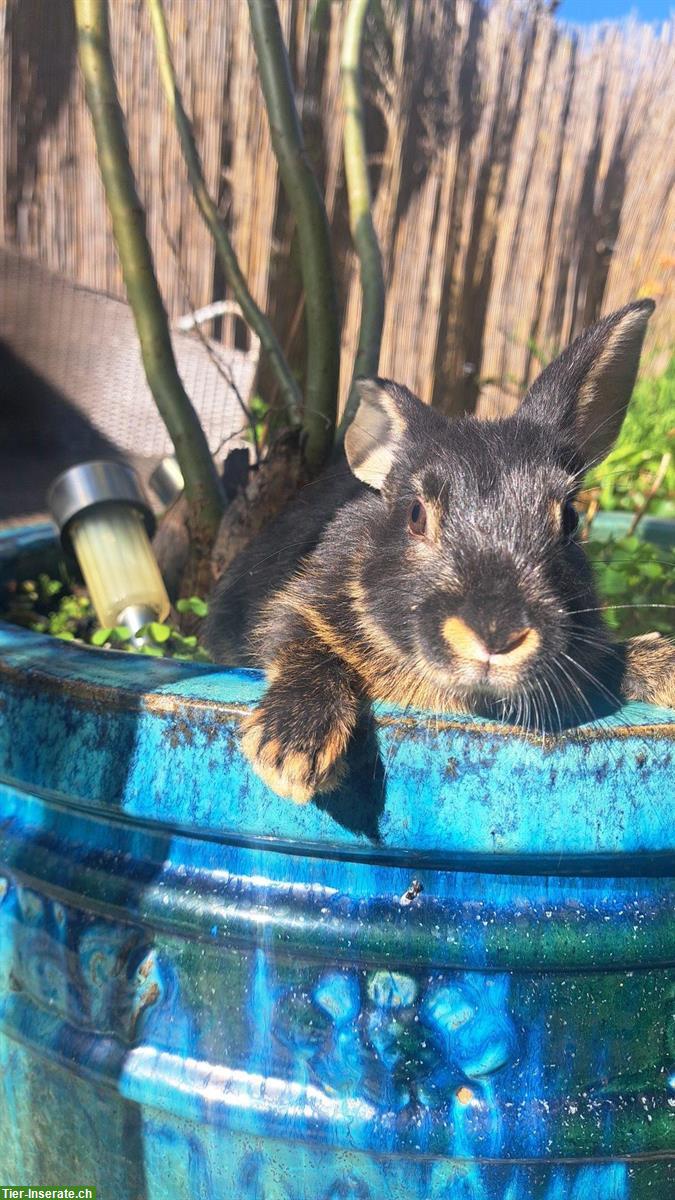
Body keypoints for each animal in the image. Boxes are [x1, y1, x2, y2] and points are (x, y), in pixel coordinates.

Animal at [207, 297, 667, 806]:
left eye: (569, 519)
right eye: (415, 515)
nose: (496, 635)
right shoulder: (297, 605)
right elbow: (300, 643)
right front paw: (290, 753)